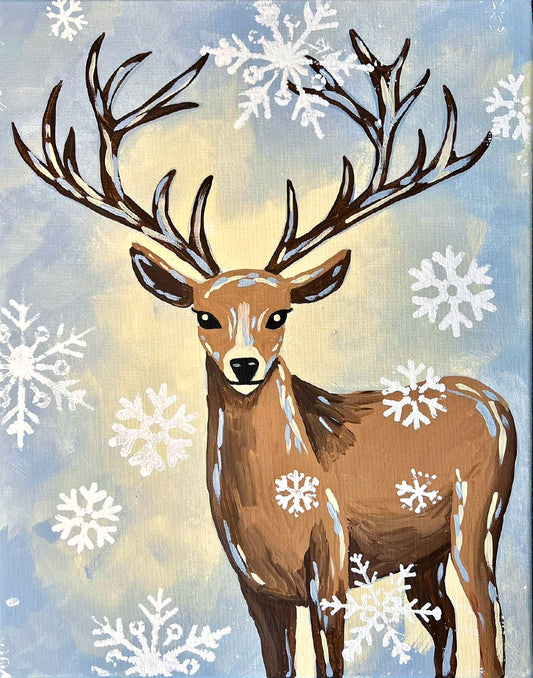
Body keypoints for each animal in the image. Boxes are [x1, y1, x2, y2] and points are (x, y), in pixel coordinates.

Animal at [12, 31, 516, 678]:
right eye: (203, 315)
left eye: (281, 314)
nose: (245, 365)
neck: (275, 511)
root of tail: (497, 401)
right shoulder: (256, 588)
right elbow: (279, 665)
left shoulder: (331, 565)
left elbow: (331, 666)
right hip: (417, 557)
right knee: (446, 620)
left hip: (477, 520)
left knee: (488, 618)